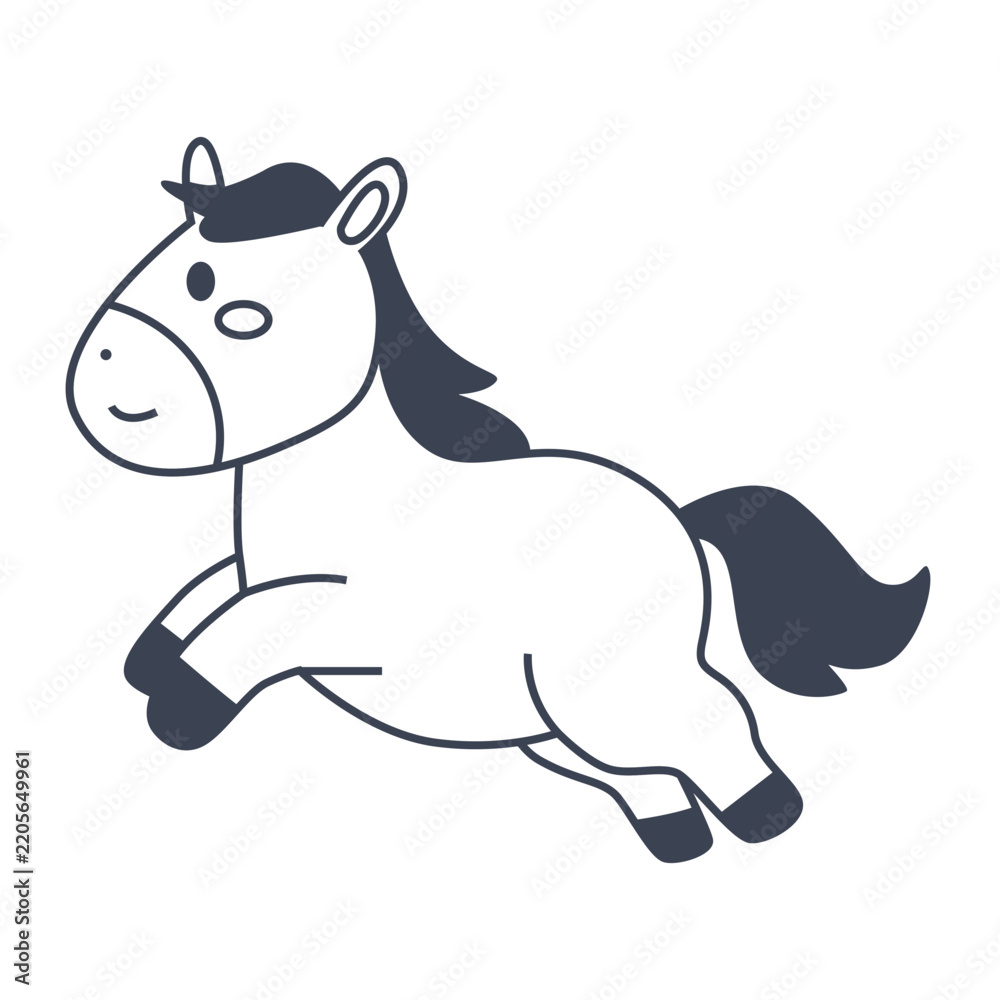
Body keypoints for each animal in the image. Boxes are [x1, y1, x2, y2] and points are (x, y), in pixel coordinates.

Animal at [65, 137, 930, 862]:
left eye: (240, 314)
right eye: (151, 270)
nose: (106, 376)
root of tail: (679, 520)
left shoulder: (360, 621)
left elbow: (248, 626)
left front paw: (180, 711)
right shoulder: (252, 570)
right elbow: (207, 595)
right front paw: (150, 662)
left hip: (615, 694)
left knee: (709, 728)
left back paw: (768, 818)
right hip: (550, 722)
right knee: (636, 774)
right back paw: (678, 840)